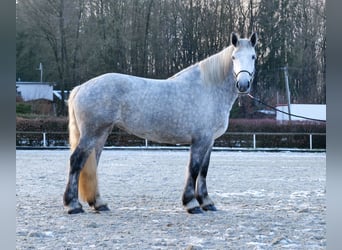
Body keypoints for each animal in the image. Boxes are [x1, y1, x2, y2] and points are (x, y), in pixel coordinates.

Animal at [63, 32, 256, 214]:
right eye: (234, 57)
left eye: (253, 56)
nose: (243, 84)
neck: (208, 89)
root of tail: (80, 88)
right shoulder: (200, 140)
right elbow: (193, 169)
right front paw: (192, 204)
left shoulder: (210, 141)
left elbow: (203, 170)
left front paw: (207, 202)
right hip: (91, 134)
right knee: (76, 161)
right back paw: (73, 205)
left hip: (101, 134)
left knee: (91, 164)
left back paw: (98, 203)